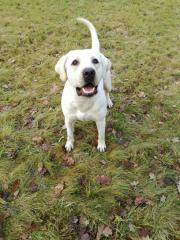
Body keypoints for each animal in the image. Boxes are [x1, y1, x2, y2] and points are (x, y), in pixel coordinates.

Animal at [55, 17, 112, 152]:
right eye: (74, 62)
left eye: (95, 61)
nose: (89, 72)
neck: (83, 100)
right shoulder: (69, 119)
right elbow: (70, 134)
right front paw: (69, 143)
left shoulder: (100, 120)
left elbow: (101, 135)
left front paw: (101, 145)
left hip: (108, 82)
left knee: (107, 91)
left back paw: (109, 102)